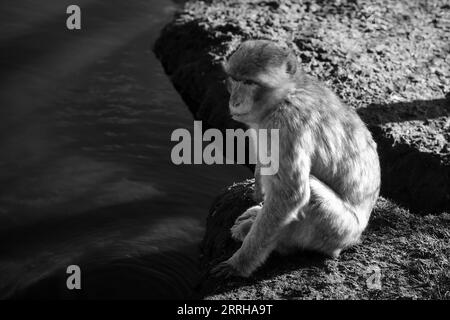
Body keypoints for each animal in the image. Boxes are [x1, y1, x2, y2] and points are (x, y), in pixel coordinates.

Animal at [213, 39, 382, 278]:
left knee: (311, 195)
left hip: (338, 229)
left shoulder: (288, 123)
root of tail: (356, 237)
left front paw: (239, 264)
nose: (234, 101)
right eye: (234, 80)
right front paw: (258, 196)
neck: (284, 95)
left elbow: (290, 195)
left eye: (249, 82)